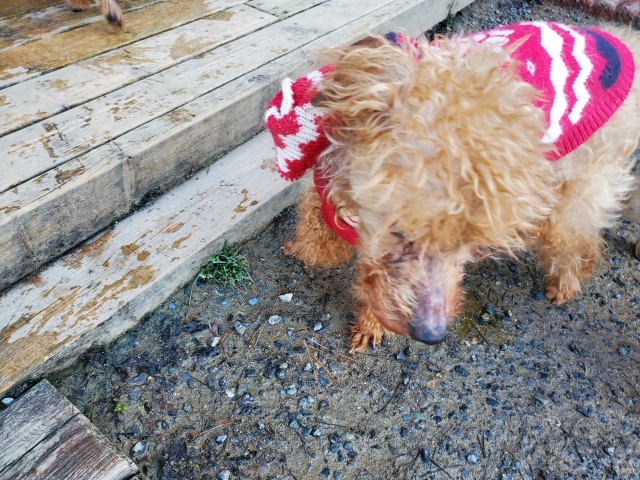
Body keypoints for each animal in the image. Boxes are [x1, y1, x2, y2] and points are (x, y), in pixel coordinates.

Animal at [265, 23, 640, 352]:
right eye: (399, 231)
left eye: (469, 245)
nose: (431, 336)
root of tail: (625, 42)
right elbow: (315, 234)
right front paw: (303, 248)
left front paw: (371, 325)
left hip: (587, 179)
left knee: (579, 238)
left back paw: (565, 283)